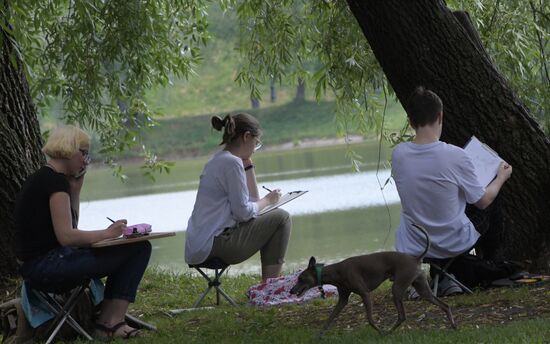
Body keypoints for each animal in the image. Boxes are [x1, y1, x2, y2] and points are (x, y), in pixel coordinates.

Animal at [292, 224, 460, 334]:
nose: (291, 291)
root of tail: (415, 258)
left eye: (300, 278)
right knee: (444, 305)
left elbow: (370, 319)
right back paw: (453, 325)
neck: (336, 271)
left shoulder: (365, 294)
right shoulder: (343, 300)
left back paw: (388, 332)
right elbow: (330, 318)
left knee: (402, 316)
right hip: (422, 289)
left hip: (397, 288)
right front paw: (319, 335)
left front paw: (379, 331)